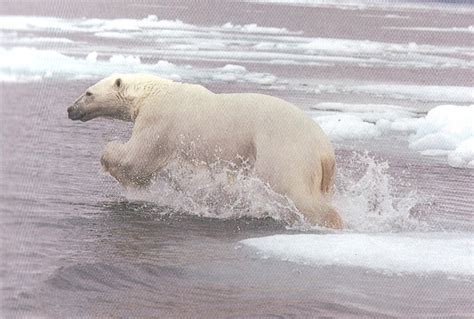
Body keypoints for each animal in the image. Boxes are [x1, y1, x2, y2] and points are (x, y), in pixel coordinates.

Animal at [66, 74, 342, 229]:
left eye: (88, 92)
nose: (70, 109)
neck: (152, 92)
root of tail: (325, 152)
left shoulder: (159, 122)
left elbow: (136, 161)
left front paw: (110, 150)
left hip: (284, 149)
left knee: (291, 190)